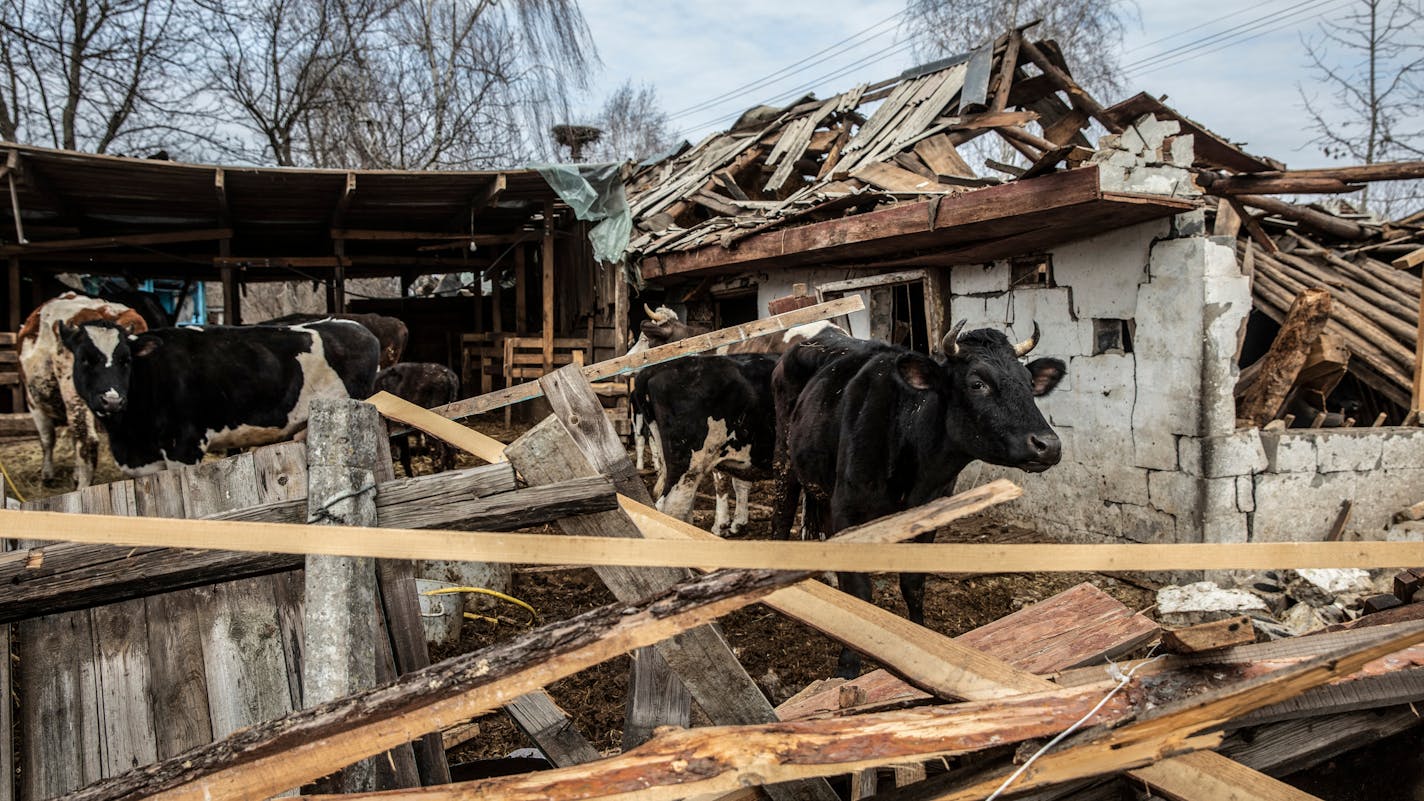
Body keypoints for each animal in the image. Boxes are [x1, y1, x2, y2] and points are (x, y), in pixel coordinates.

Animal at [774, 317, 1065, 672]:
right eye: (977, 383)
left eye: (1028, 382)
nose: (1048, 445)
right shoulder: (849, 510)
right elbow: (859, 589)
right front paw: (848, 663)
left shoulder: (930, 513)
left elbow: (913, 583)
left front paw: (920, 636)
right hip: (784, 457)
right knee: (781, 516)